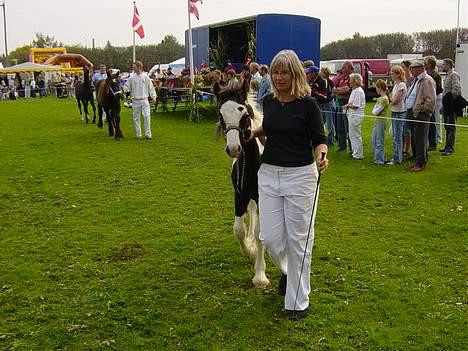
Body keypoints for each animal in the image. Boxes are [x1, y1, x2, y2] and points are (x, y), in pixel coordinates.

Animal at [213, 82, 268, 288]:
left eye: (243, 112)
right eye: (220, 114)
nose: (234, 149)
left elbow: (261, 233)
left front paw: (260, 275)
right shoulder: (239, 194)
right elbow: (238, 230)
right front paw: (250, 250)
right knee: (251, 213)